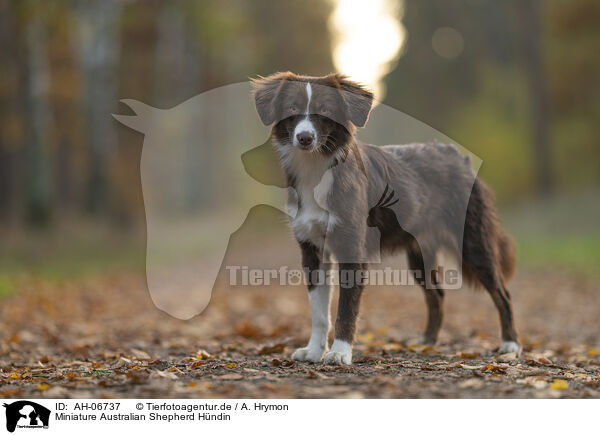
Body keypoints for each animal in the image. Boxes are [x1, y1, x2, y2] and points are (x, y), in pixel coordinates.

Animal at [251, 73, 516, 366]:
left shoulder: (351, 249)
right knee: (436, 294)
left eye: (326, 111)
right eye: (292, 109)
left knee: (502, 294)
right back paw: (427, 342)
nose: (305, 138)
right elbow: (319, 312)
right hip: (419, 257)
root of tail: (461, 158)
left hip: (473, 244)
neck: (315, 171)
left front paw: (340, 352)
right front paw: (313, 351)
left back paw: (510, 344)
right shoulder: (312, 250)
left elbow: (346, 309)